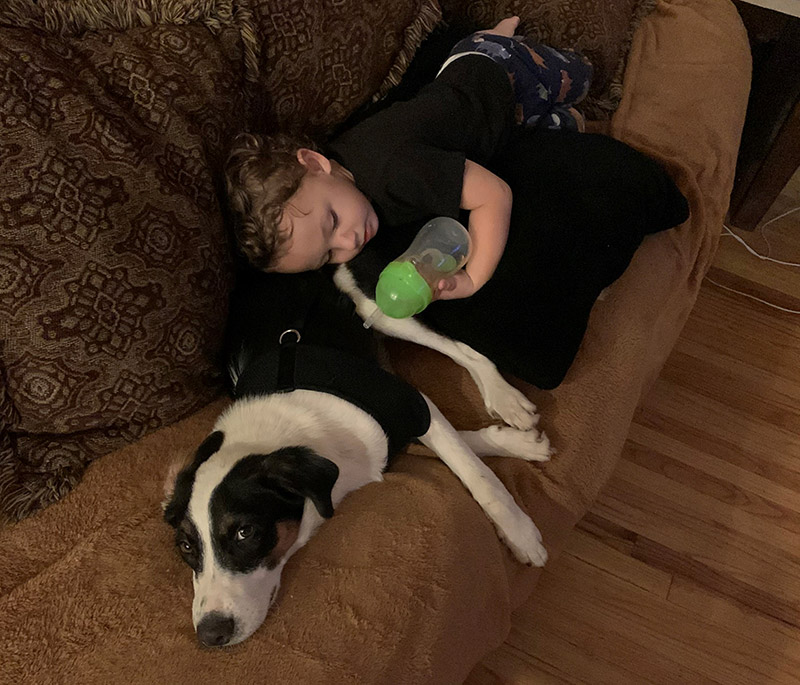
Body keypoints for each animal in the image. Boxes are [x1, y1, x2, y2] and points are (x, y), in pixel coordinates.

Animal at [162, 262, 552, 648]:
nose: (210, 635)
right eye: (186, 546)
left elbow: (476, 473)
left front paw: (520, 532)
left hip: (381, 300)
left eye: (245, 532)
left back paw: (506, 398)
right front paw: (518, 444)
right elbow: (454, 444)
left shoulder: (411, 402)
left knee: (465, 350)